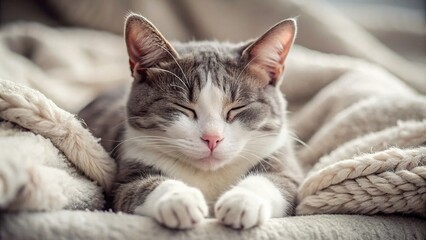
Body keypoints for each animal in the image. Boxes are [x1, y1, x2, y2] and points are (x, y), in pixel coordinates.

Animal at [79, 13, 302, 231]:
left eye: (237, 108)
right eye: (183, 107)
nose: (212, 139)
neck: (208, 175)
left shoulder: (282, 161)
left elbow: (276, 182)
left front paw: (242, 201)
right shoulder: (128, 169)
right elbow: (137, 187)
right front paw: (180, 200)